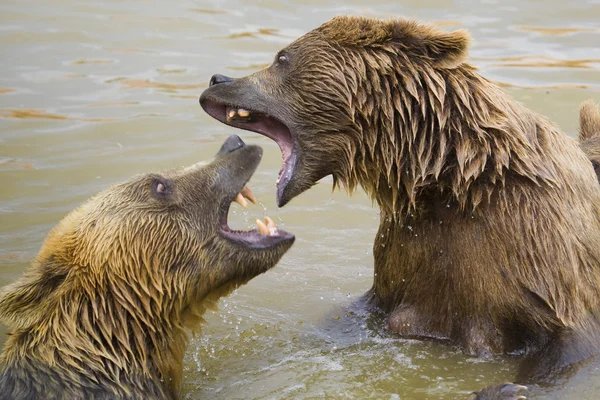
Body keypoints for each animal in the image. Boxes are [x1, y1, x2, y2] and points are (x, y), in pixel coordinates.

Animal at [199, 15, 600, 396]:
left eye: (282, 57)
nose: (217, 77)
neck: (450, 178)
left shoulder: (536, 247)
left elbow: (566, 342)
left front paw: (508, 389)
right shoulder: (407, 250)